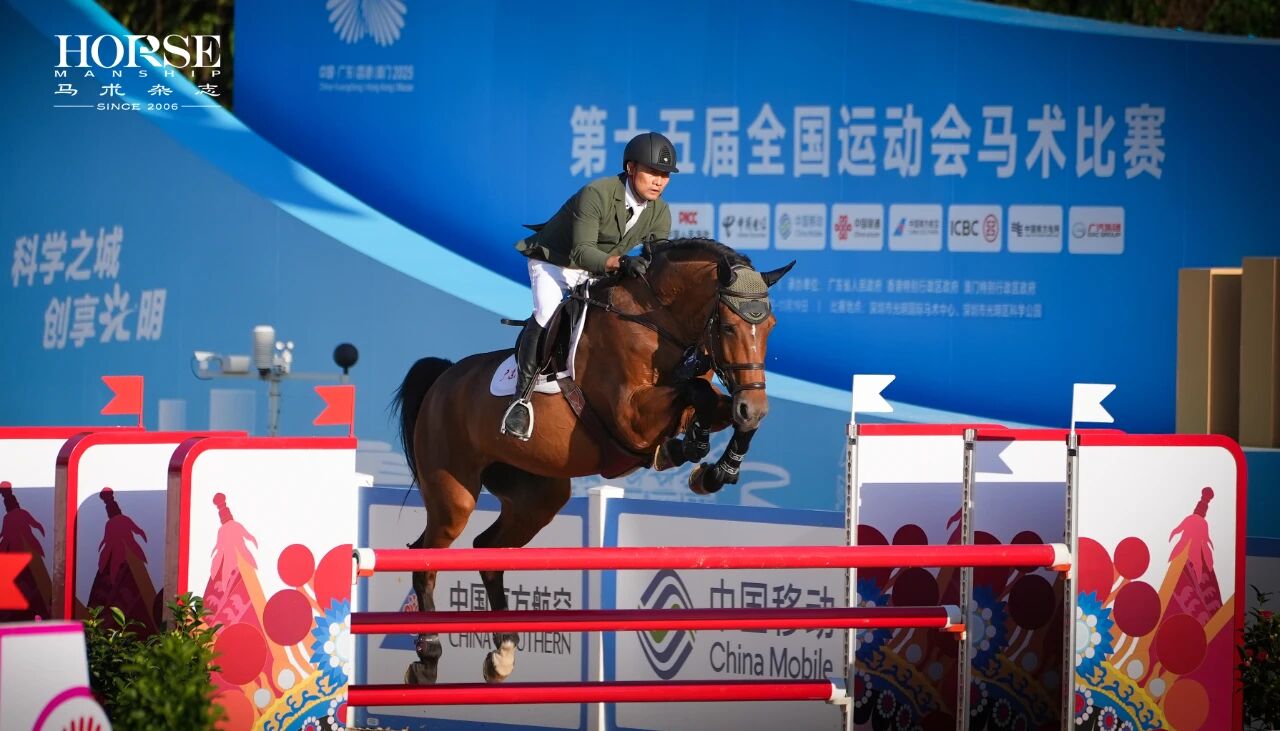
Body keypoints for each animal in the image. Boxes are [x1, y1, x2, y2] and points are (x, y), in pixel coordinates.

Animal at [391, 238, 793, 685]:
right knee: (425, 558)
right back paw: (428, 658)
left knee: (488, 549)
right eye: (726, 327)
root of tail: (443, 380)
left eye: (771, 326)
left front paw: (715, 468)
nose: (753, 406)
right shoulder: (631, 417)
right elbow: (696, 393)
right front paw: (692, 451)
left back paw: (502, 654)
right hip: (453, 494)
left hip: (537, 496)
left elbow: (711, 403)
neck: (659, 320)